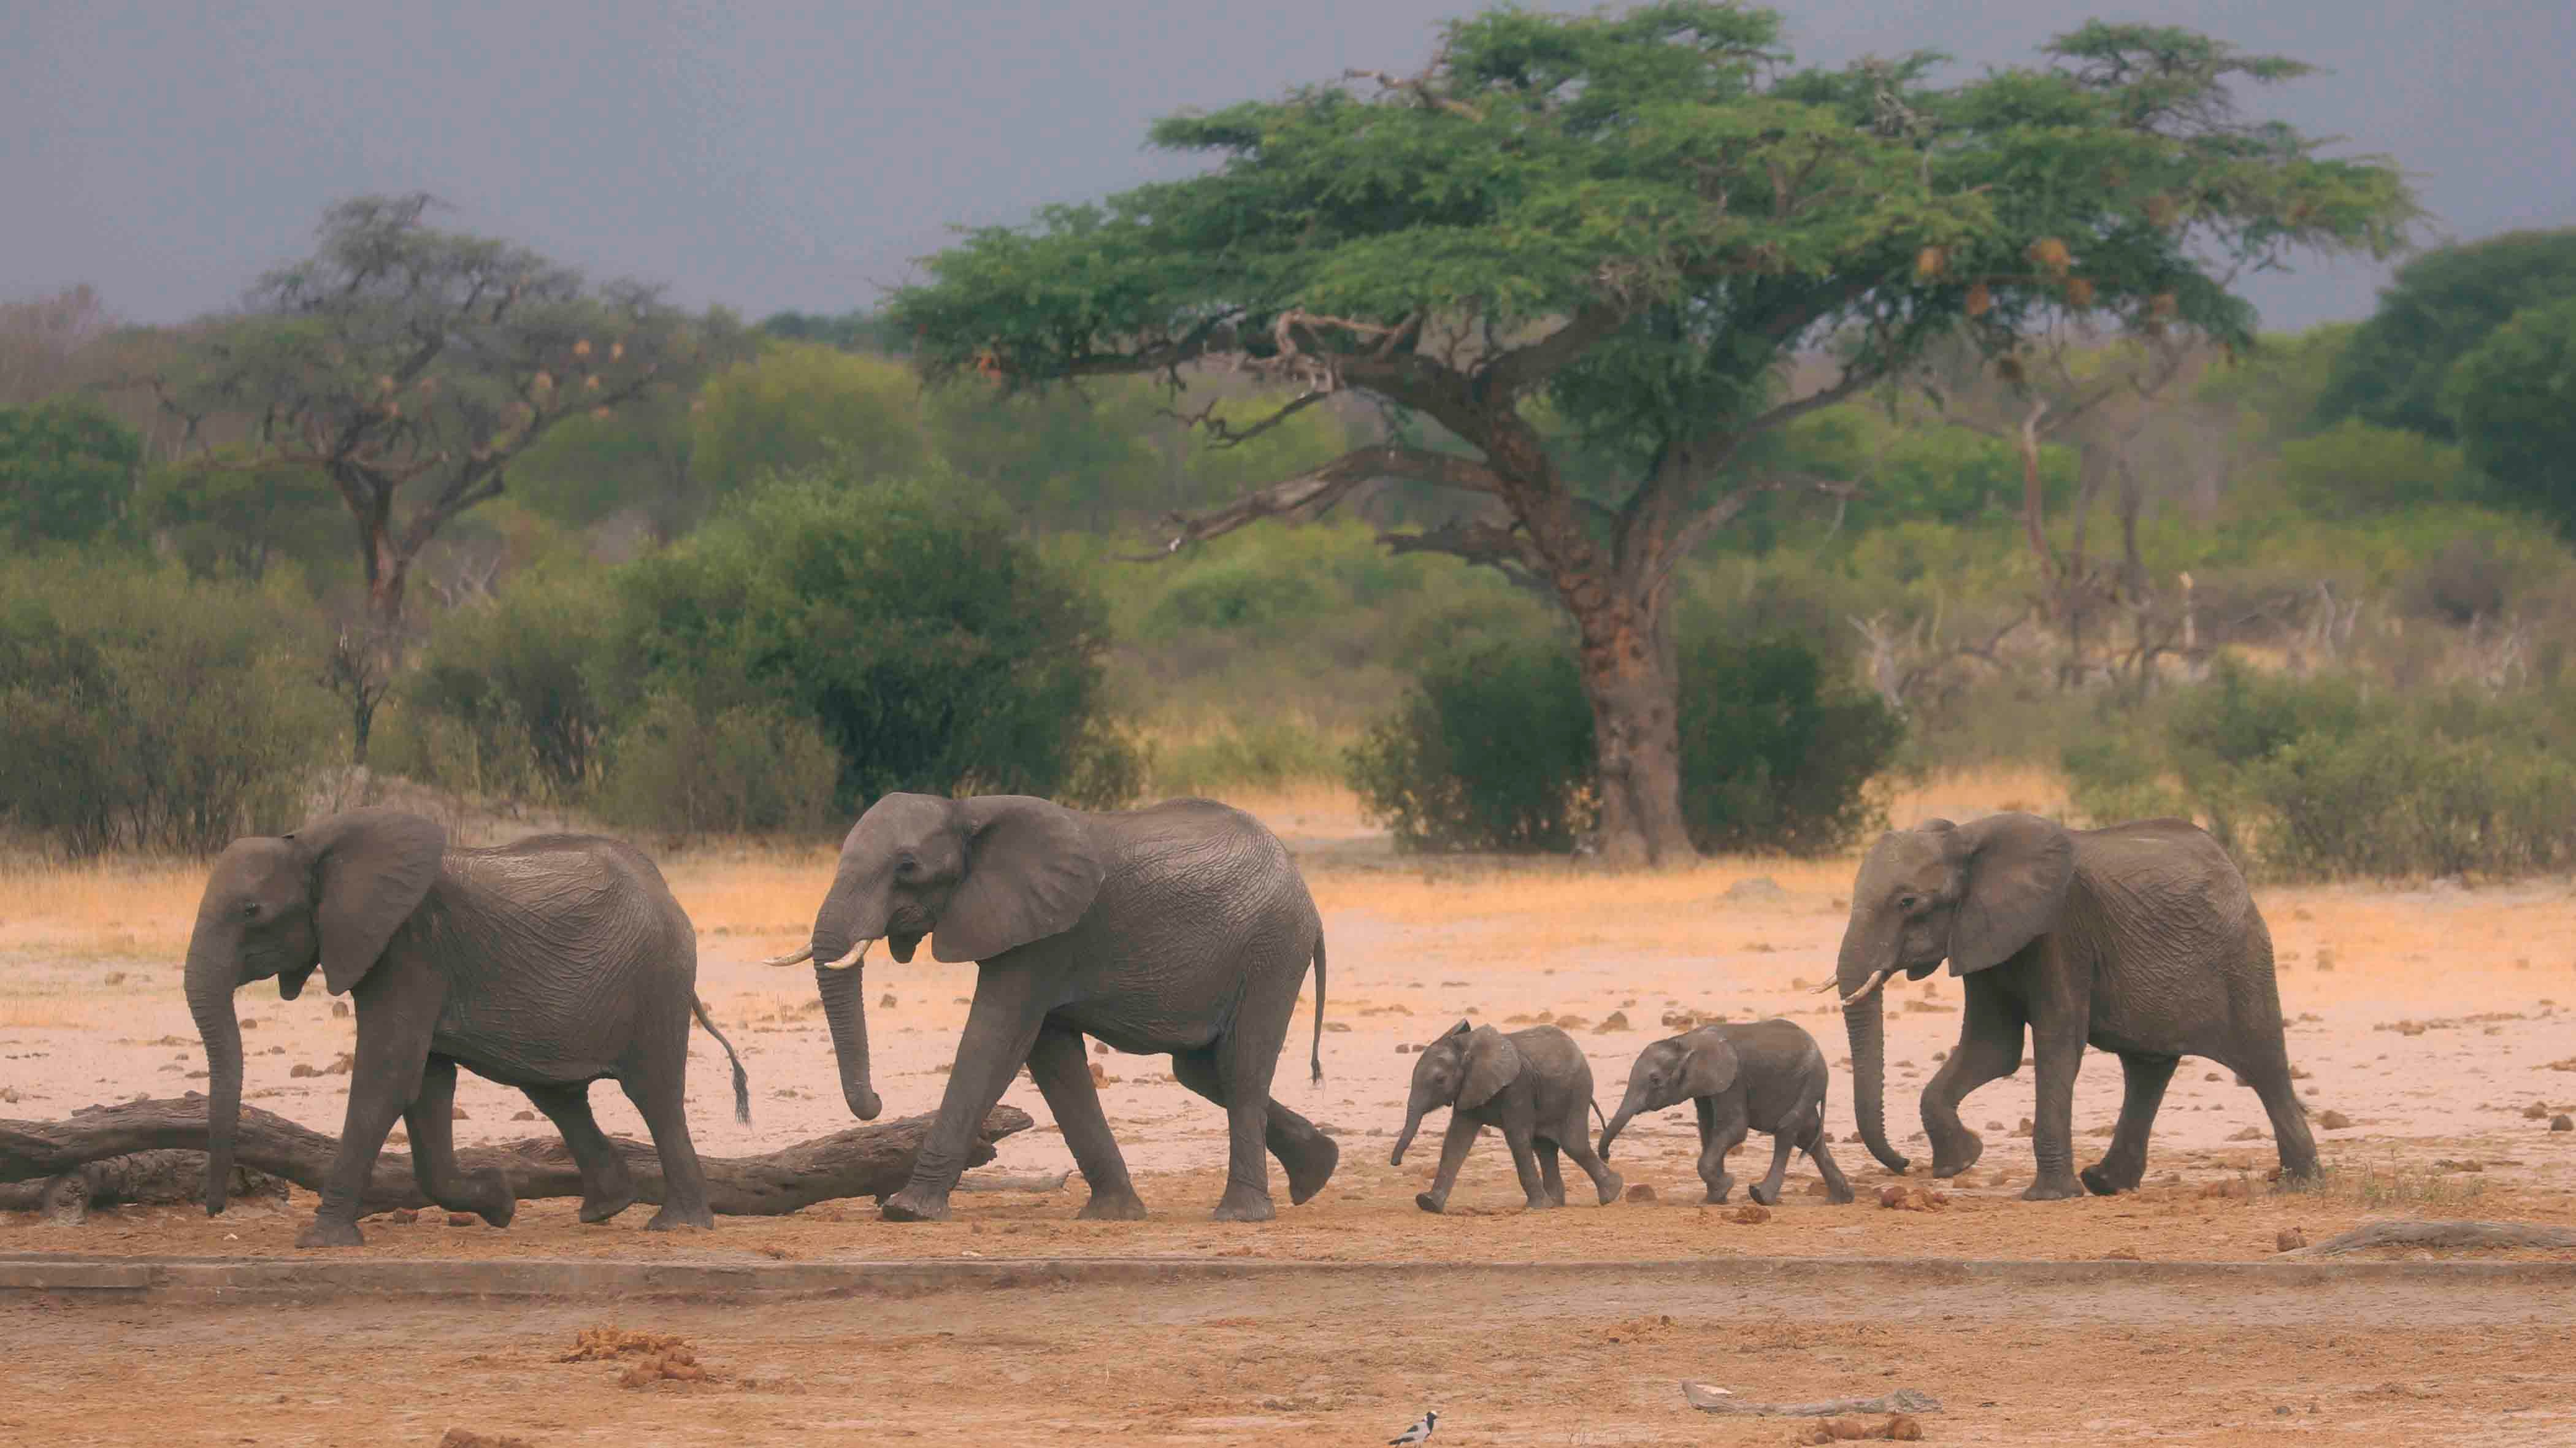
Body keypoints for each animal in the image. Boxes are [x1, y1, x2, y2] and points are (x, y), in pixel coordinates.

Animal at [184, 808, 750, 1247]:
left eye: (252, 910)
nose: (215, 1208)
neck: (313, 843)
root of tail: (667, 891)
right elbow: (425, 1087)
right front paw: (500, 1202)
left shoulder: (409, 950)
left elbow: (386, 1079)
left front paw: (320, 1240)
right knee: (558, 1094)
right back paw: (605, 1208)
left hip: (657, 980)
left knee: (653, 1094)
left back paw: (678, 1225)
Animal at [769, 793, 1337, 1223]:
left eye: (907, 867)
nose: (876, 1102)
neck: (966, 811)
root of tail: (1305, 893)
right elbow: (1052, 1058)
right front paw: (1113, 1214)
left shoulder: (1045, 938)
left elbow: (995, 1040)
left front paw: (908, 1210)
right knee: (1201, 1069)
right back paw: (1317, 1171)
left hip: (1271, 949)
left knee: (1240, 1068)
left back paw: (1241, 1214)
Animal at [1391, 1022, 1622, 1214]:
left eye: (1440, 1080)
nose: (1396, 1163)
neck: (1465, 1046)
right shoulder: (1469, 1088)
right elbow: (1457, 1140)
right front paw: (1428, 1203)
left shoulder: (1517, 1086)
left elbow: (1517, 1136)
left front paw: (1536, 1208)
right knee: (1545, 1148)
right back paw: (1557, 1203)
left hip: (1577, 1090)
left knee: (1573, 1144)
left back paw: (1611, 1194)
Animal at [1598, 1019, 1855, 1206]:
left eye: (1655, 1080)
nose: (1607, 1157)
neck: (1686, 1041)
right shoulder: (1706, 1087)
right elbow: (1708, 1128)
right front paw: (1715, 1198)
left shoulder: (1733, 1079)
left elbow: (1734, 1128)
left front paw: (1726, 1186)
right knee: (1810, 1136)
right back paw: (1841, 1200)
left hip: (1811, 1080)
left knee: (1788, 1128)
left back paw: (1762, 1196)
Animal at [1831, 812, 2317, 1201]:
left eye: (1907, 902)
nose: (1903, 1164)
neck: (1966, 838)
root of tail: (2233, 870)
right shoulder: (1981, 936)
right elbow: (1993, 1048)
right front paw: (1962, 1161)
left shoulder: (2059, 932)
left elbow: (2057, 1037)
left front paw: (2048, 1196)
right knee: (2147, 1069)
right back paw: (2105, 1182)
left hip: (2241, 957)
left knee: (2263, 1062)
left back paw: (2302, 1182)